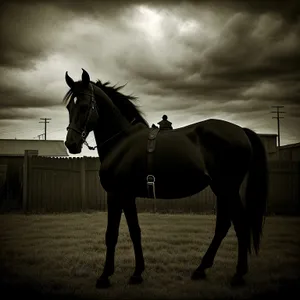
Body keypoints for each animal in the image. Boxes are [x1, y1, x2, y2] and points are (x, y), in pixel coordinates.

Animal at [62, 68, 268, 288]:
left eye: (84, 106)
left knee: (240, 225)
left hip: (227, 189)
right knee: (222, 226)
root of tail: (241, 131)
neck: (122, 141)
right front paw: (137, 273)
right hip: (221, 190)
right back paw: (201, 269)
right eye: (69, 107)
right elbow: (135, 231)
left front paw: (104, 276)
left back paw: (238, 275)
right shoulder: (128, 196)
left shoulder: (116, 194)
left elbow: (112, 234)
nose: (71, 144)